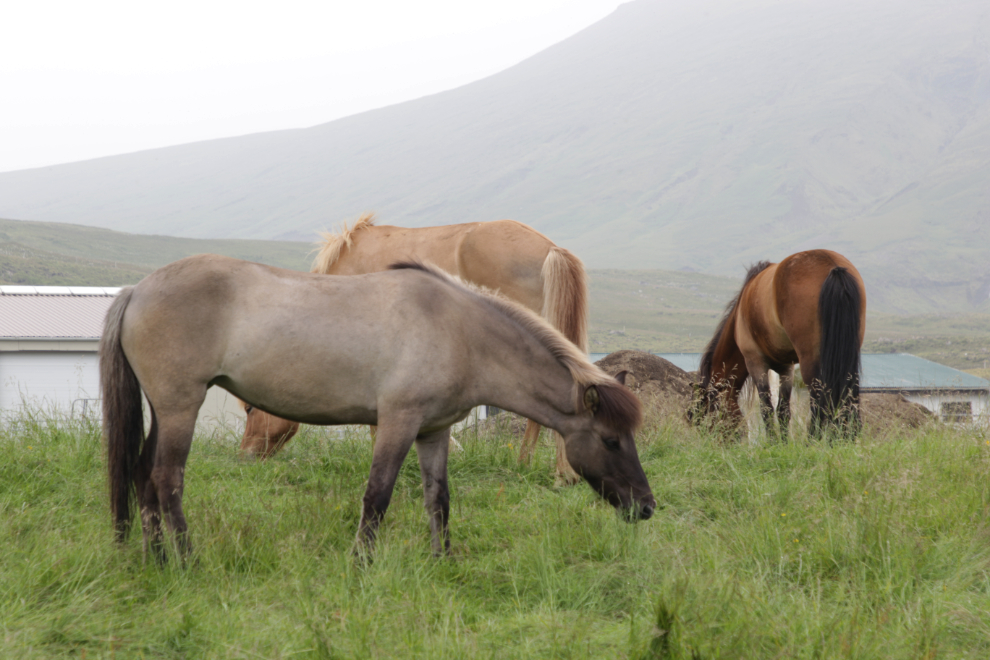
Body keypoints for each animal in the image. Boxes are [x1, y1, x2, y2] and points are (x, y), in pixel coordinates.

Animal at [102, 255, 654, 561]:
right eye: (610, 440)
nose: (645, 507)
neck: (460, 331)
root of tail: (136, 290)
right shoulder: (397, 423)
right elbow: (378, 496)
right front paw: (361, 564)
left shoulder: (433, 431)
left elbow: (438, 499)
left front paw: (441, 561)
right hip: (181, 407)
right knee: (166, 479)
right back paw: (187, 560)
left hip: (165, 410)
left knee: (143, 474)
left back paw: (156, 559)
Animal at [688, 249, 866, 440]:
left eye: (706, 417)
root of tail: (833, 266)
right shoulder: (786, 367)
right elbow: (783, 410)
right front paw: (783, 441)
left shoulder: (755, 362)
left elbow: (766, 408)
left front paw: (773, 441)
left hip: (810, 361)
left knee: (819, 401)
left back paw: (813, 440)